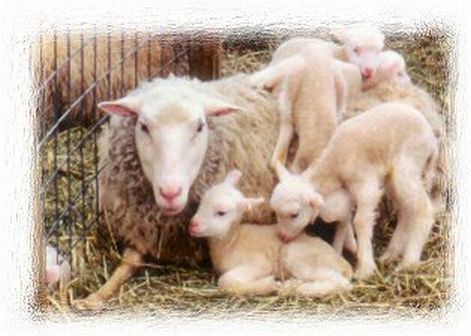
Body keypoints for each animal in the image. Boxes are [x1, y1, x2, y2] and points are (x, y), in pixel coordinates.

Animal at [189, 171, 354, 296]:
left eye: (221, 212)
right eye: (202, 202)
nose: (192, 225)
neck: (231, 242)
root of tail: (344, 263)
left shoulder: (260, 262)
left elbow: (226, 280)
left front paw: (267, 284)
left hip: (297, 256)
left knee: (342, 283)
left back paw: (297, 288)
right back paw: (292, 284)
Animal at [272, 101, 440, 280]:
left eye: (294, 214)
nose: (282, 237)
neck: (334, 166)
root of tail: (431, 138)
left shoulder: (365, 185)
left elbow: (360, 221)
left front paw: (365, 268)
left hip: (407, 164)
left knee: (423, 210)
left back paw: (408, 262)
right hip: (393, 176)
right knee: (406, 210)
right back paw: (391, 253)